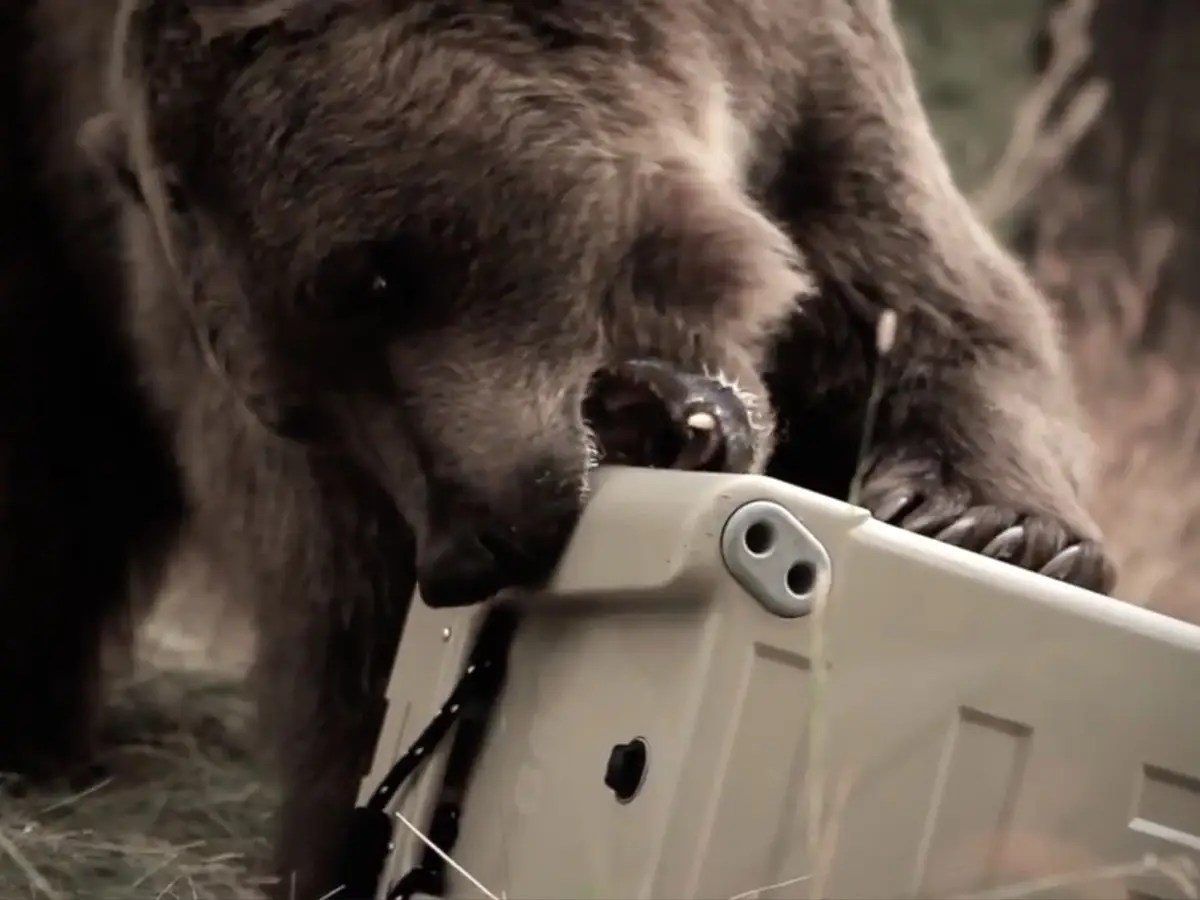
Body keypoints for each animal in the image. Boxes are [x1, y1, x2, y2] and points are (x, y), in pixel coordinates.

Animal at [0, 0, 1114, 897]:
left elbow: (952, 316)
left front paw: (995, 526)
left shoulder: (827, 114)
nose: (470, 549)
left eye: (373, 281)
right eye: (299, 405)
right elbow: (344, 625)